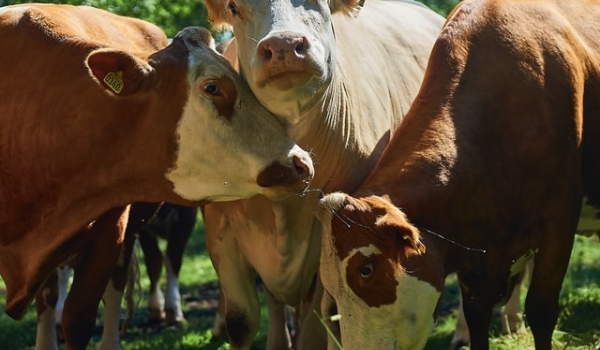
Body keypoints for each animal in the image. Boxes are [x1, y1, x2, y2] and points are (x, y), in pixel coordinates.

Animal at [314, 0, 600, 348]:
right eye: (329, 287)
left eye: (365, 269)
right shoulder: (474, 253)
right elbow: (476, 316)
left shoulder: (559, 222)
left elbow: (541, 310)